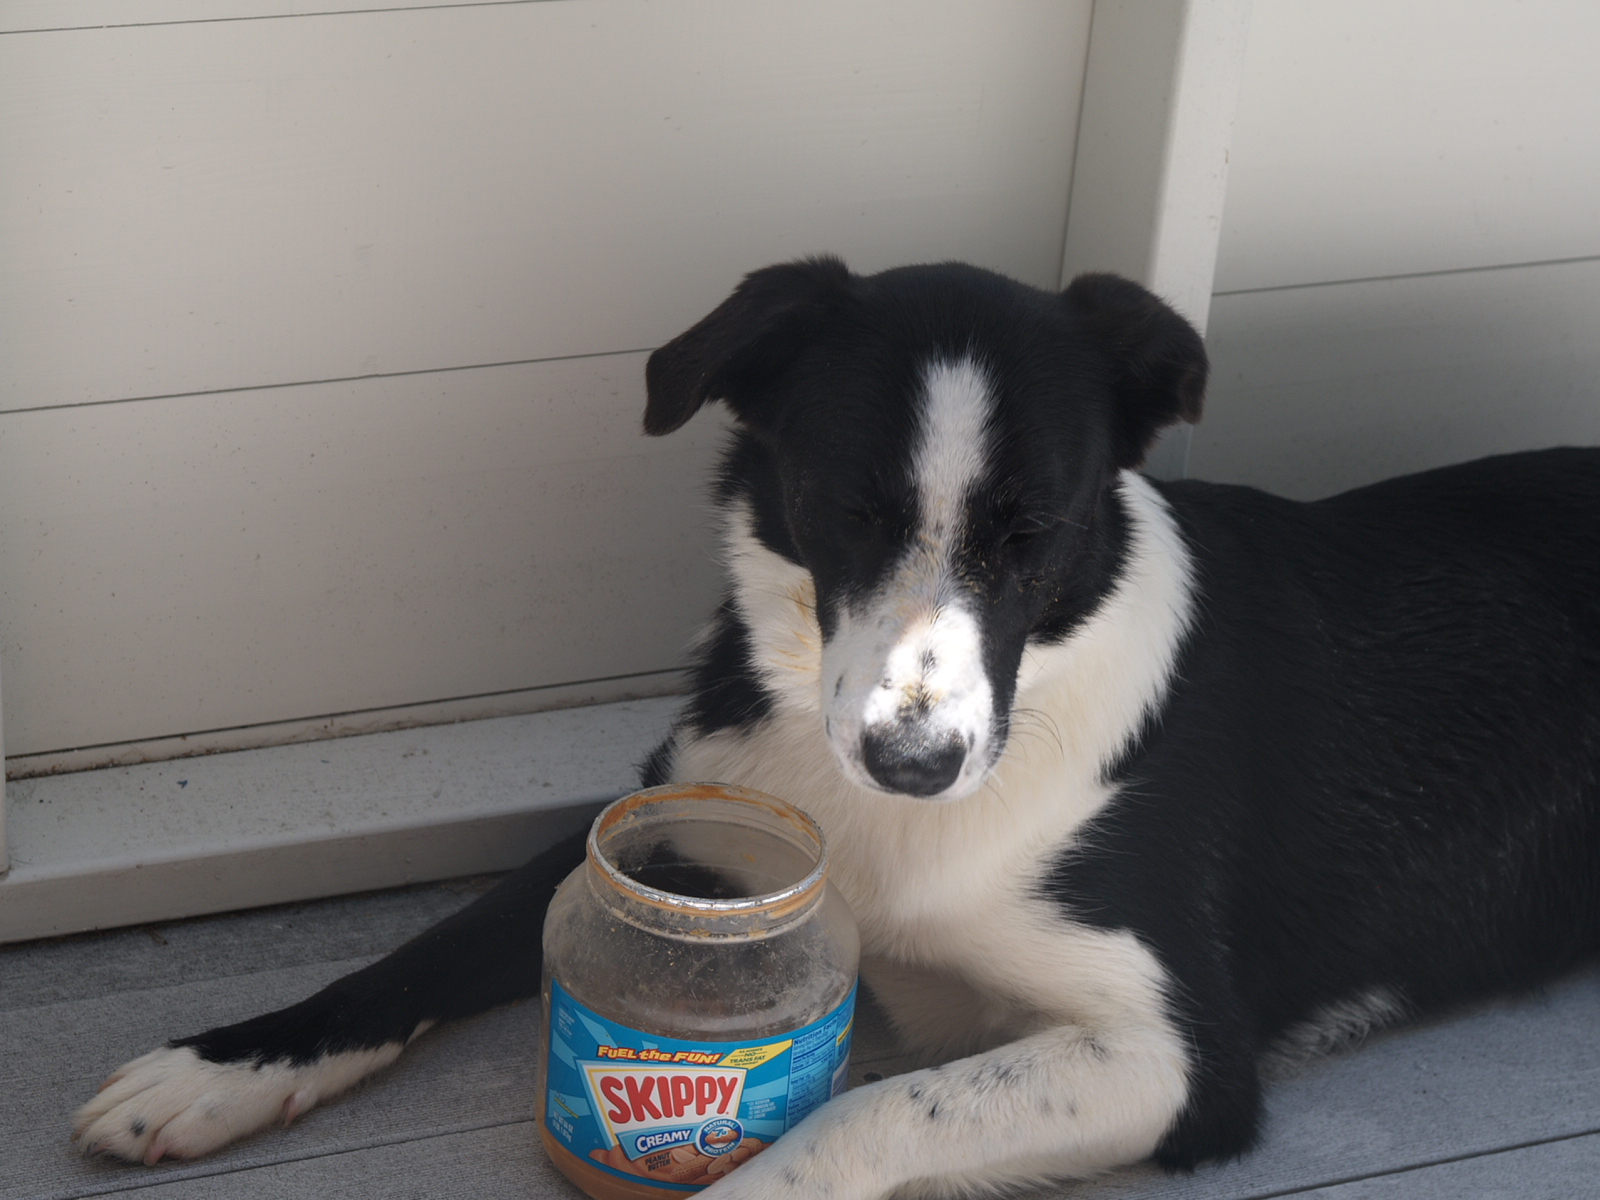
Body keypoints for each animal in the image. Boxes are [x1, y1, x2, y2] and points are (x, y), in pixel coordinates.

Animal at [74, 258, 1600, 1197]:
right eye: (844, 508)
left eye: (1036, 534)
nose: (913, 762)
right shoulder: (659, 824)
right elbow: (423, 950)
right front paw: (217, 1069)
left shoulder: (1180, 1058)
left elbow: (857, 1114)